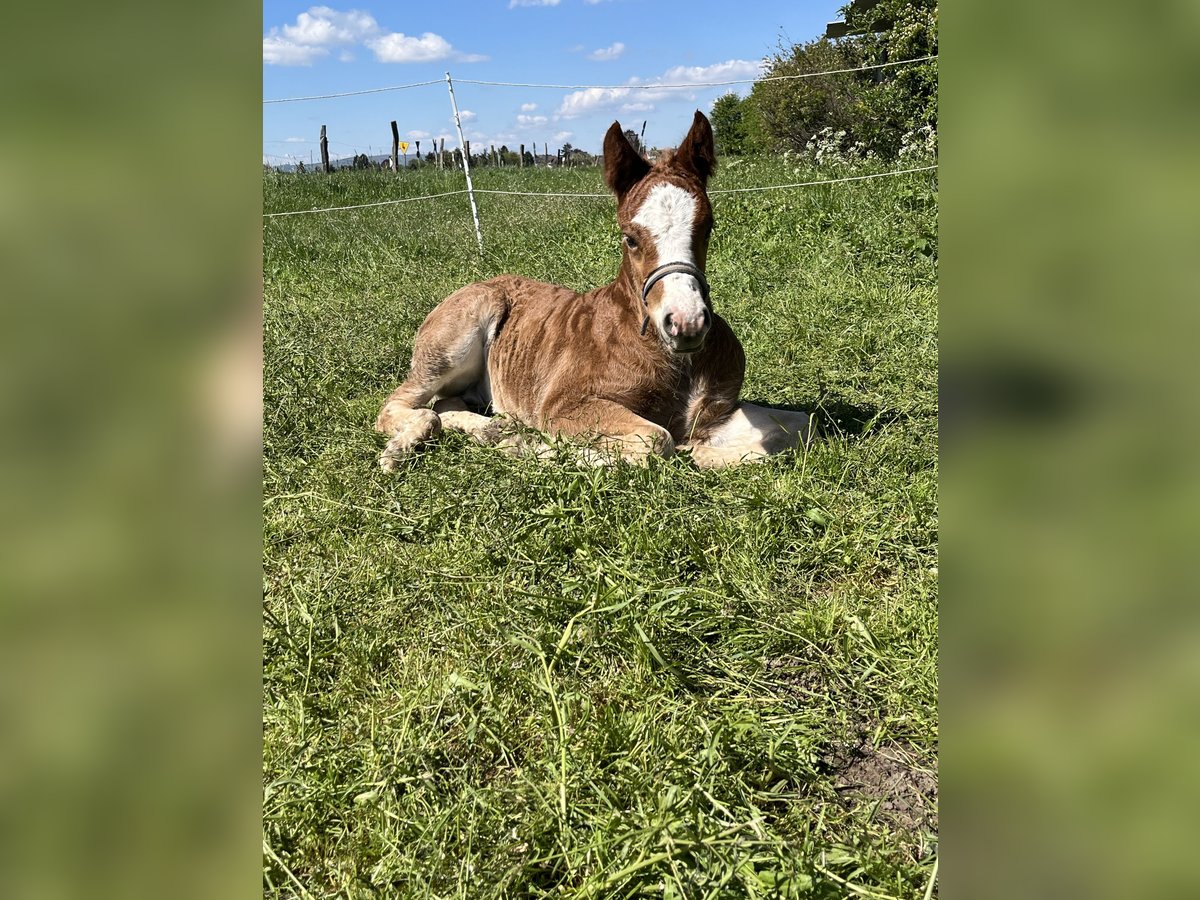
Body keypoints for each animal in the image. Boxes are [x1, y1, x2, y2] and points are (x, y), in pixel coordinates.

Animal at [374, 111, 806, 472]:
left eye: (707, 227)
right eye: (630, 238)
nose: (687, 325)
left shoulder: (716, 411)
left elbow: (798, 425)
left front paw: (706, 452)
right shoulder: (565, 405)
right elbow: (656, 440)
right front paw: (531, 447)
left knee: (447, 403)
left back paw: (486, 428)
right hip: (454, 343)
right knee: (400, 403)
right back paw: (407, 445)